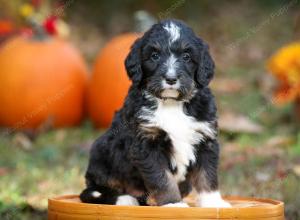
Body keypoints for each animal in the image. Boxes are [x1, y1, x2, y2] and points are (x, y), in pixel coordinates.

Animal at [79, 19, 230, 208]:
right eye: (155, 56)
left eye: (186, 56)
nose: (171, 79)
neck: (172, 104)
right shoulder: (146, 143)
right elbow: (162, 178)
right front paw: (173, 203)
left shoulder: (205, 139)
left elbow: (207, 175)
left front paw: (213, 202)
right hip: (101, 155)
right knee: (93, 192)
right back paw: (125, 199)